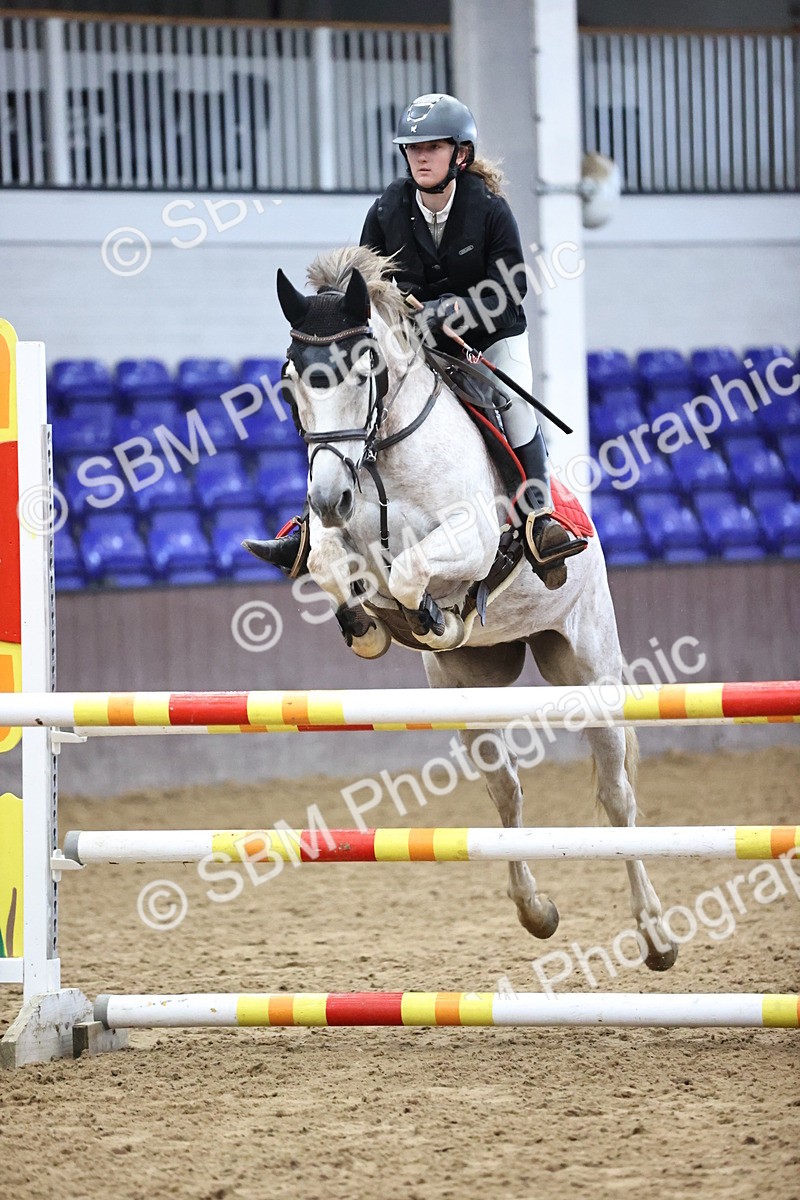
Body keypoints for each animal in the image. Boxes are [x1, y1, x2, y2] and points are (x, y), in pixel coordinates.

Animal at [276, 244, 678, 971]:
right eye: (292, 383)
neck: (382, 453)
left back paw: (656, 936)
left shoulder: (471, 539)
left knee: (616, 797)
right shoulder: (335, 539)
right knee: (506, 791)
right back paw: (536, 911)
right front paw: (368, 625)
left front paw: (433, 616)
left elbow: (411, 570)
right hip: (471, 691)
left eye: (364, 369)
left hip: (590, 670)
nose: (327, 497)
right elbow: (329, 565)